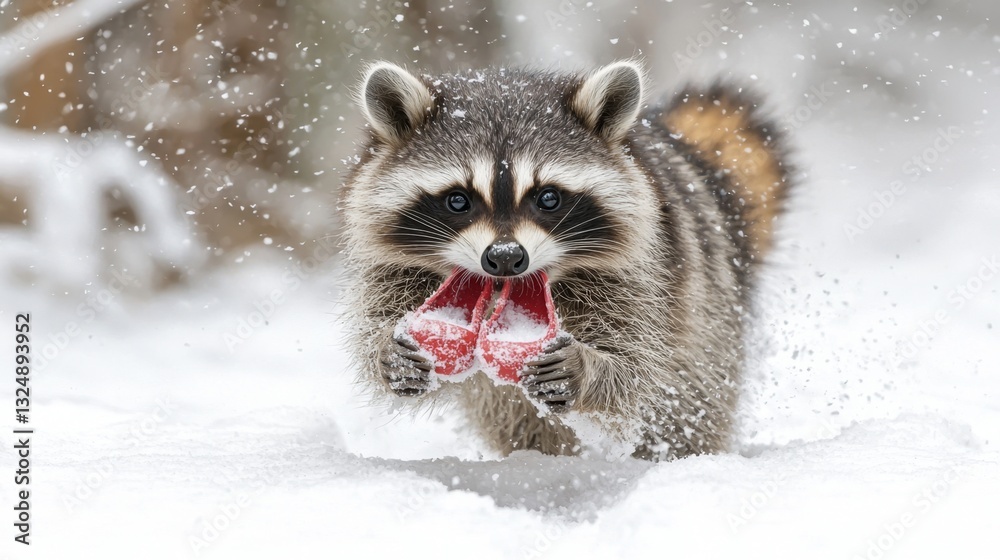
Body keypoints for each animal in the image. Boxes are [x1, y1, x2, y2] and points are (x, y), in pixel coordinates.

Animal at [341, 60, 791, 461]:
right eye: (457, 200)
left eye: (548, 198)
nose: (505, 257)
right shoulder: (390, 267)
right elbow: (376, 319)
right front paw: (387, 351)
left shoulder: (646, 272)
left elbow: (639, 366)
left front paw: (591, 368)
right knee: (521, 419)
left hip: (711, 323)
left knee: (685, 406)